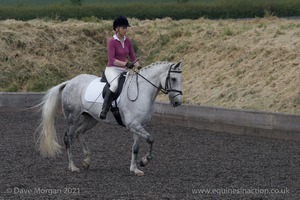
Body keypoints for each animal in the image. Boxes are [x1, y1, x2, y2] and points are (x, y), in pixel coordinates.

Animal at [36, 60, 184, 175]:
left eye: (181, 79)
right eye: (173, 79)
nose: (177, 103)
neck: (142, 91)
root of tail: (70, 82)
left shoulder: (139, 125)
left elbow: (136, 147)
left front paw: (135, 169)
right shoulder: (133, 125)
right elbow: (150, 139)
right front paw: (144, 161)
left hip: (91, 119)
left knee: (79, 133)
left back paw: (86, 161)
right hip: (73, 118)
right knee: (68, 138)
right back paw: (72, 167)